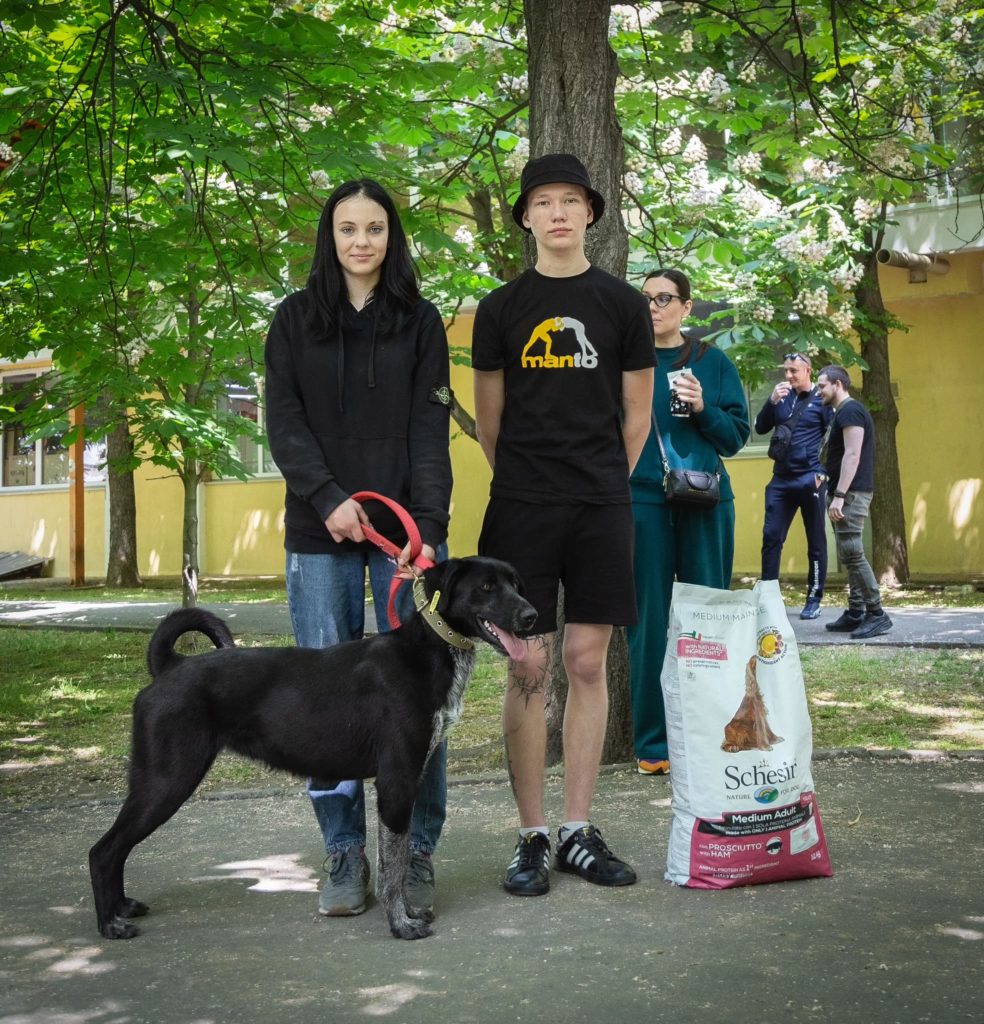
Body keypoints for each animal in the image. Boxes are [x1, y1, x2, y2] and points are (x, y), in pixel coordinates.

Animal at [90, 557, 536, 937]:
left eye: (516, 584)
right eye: (487, 586)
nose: (532, 616)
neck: (428, 649)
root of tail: (171, 666)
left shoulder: (404, 780)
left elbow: (396, 859)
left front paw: (408, 912)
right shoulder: (396, 781)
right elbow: (391, 866)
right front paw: (400, 924)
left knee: (116, 850)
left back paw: (122, 908)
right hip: (166, 780)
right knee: (104, 851)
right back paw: (109, 924)